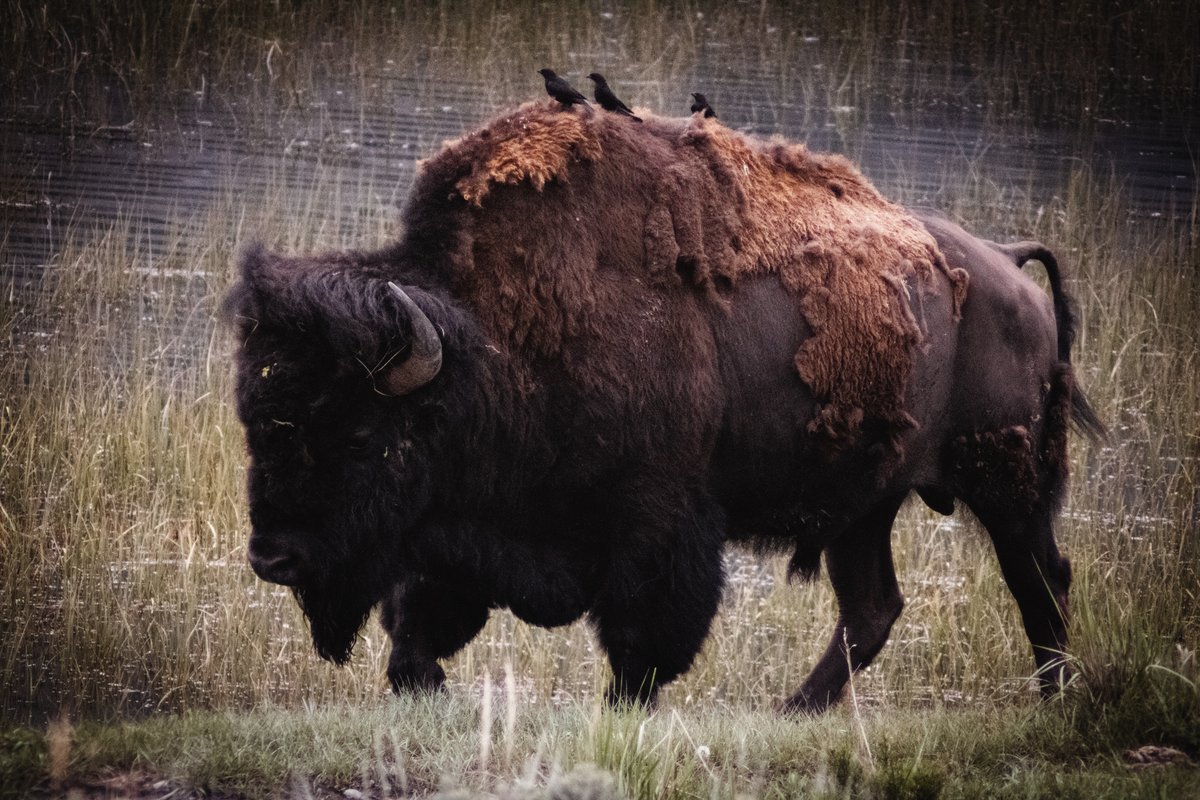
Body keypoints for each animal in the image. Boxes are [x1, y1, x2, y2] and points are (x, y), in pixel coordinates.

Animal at [225, 103, 1103, 711]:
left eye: (358, 432)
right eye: (257, 424)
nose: (272, 559)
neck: (488, 354)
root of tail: (1007, 267)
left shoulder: (657, 520)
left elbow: (645, 632)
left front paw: (623, 707)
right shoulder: (459, 534)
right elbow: (418, 624)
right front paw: (425, 684)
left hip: (1008, 484)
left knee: (1041, 577)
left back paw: (1052, 698)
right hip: (866, 503)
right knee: (873, 606)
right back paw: (796, 711)